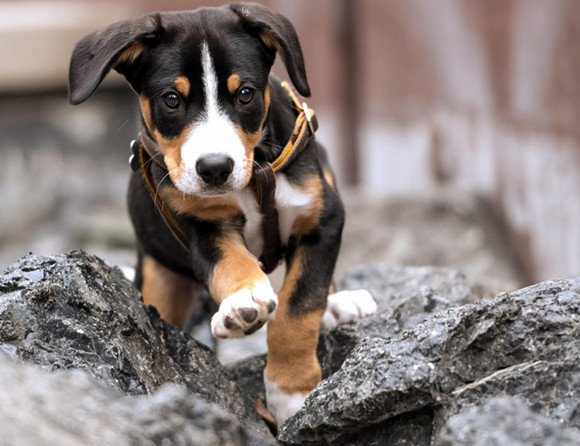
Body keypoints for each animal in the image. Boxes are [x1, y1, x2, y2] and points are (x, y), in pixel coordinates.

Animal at [68, 1, 376, 426]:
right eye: (171, 99)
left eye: (245, 94)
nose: (214, 168)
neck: (252, 181)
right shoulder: (205, 229)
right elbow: (232, 265)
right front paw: (243, 304)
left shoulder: (323, 221)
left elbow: (299, 308)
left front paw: (291, 393)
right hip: (161, 279)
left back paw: (338, 303)